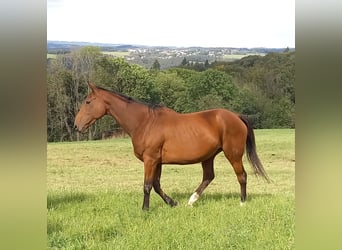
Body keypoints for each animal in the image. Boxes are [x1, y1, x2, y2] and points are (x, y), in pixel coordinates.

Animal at [74, 83, 270, 210]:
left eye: (88, 102)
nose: (77, 125)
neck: (144, 122)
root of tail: (236, 116)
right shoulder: (157, 162)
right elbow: (156, 184)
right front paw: (172, 203)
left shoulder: (150, 160)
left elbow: (147, 185)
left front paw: (145, 209)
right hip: (208, 156)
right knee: (208, 177)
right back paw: (191, 201)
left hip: (233, 154)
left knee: (242, 176)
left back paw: (242, 202)